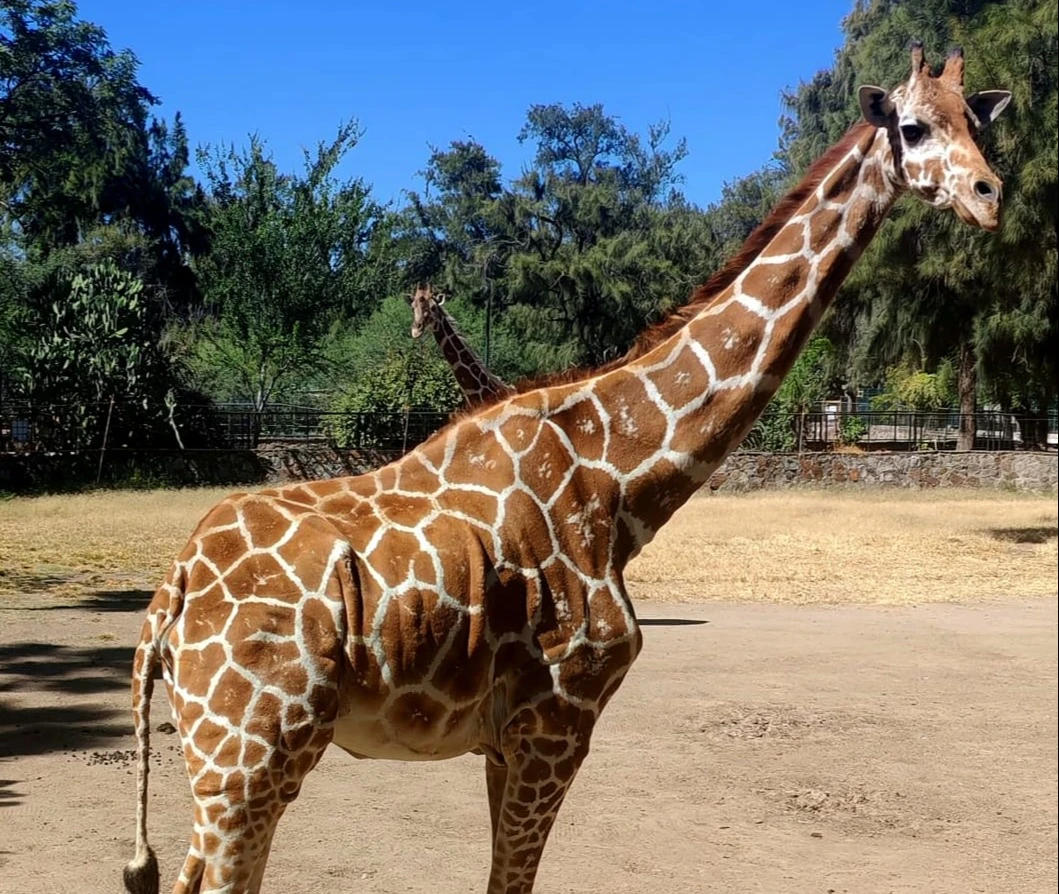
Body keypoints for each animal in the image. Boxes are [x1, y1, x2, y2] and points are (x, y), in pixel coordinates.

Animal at [123, 45, 1010, 894]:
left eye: (977, 122)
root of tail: (169, 595)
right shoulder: (558, 717)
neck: (619, 478)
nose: (988, 196)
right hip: (251, 756)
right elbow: (508, 880)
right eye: (911, 129)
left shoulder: (505, 735)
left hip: (227, 760)